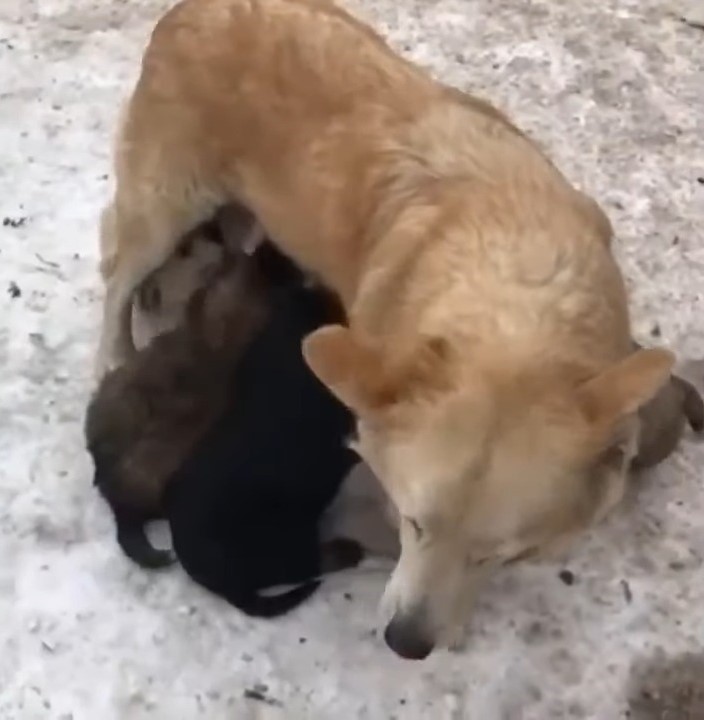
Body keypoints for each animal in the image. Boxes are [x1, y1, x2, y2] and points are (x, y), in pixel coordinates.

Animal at [93, 0, 672, 660]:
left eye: (499, 553)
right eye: (414, 523)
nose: (407, 643)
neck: (518, 306)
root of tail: (192, 10)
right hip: (163, 209)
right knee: (115, 275)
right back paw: (117, 348)